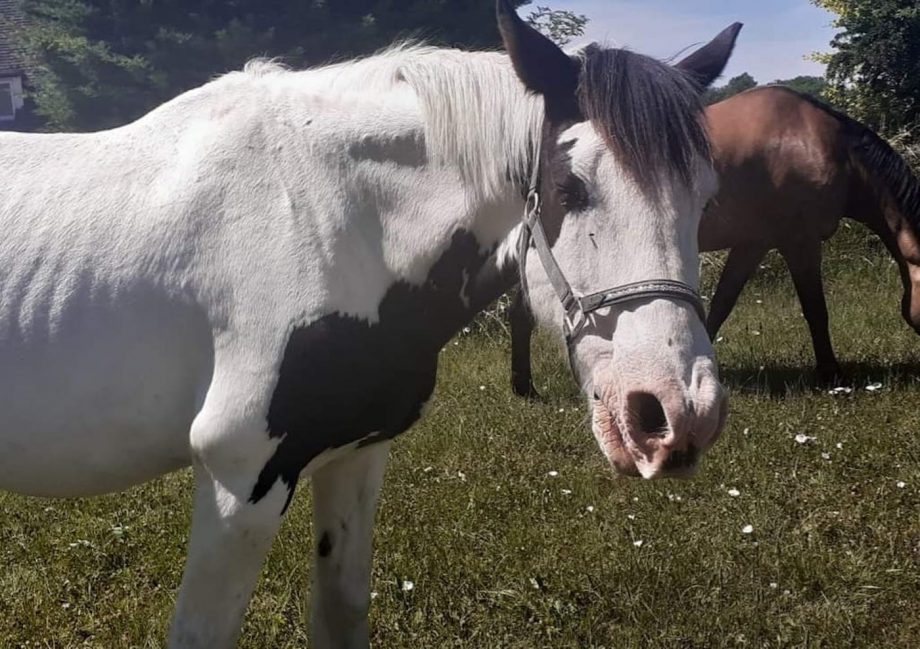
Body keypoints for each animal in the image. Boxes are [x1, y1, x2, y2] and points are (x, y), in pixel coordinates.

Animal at [0, 2, 737, 646]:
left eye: (707, 198)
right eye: (569, 188)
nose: (673, 413)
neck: (325, 216)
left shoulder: (355, 454)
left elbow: (342, 607)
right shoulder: (240, 477)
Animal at [510, 84, 920, 397]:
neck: (829, 148)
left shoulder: (752, 244)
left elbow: (722, 304)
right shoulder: (800, 242)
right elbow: (816, 311)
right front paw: (831, 372)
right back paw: (524, 387)